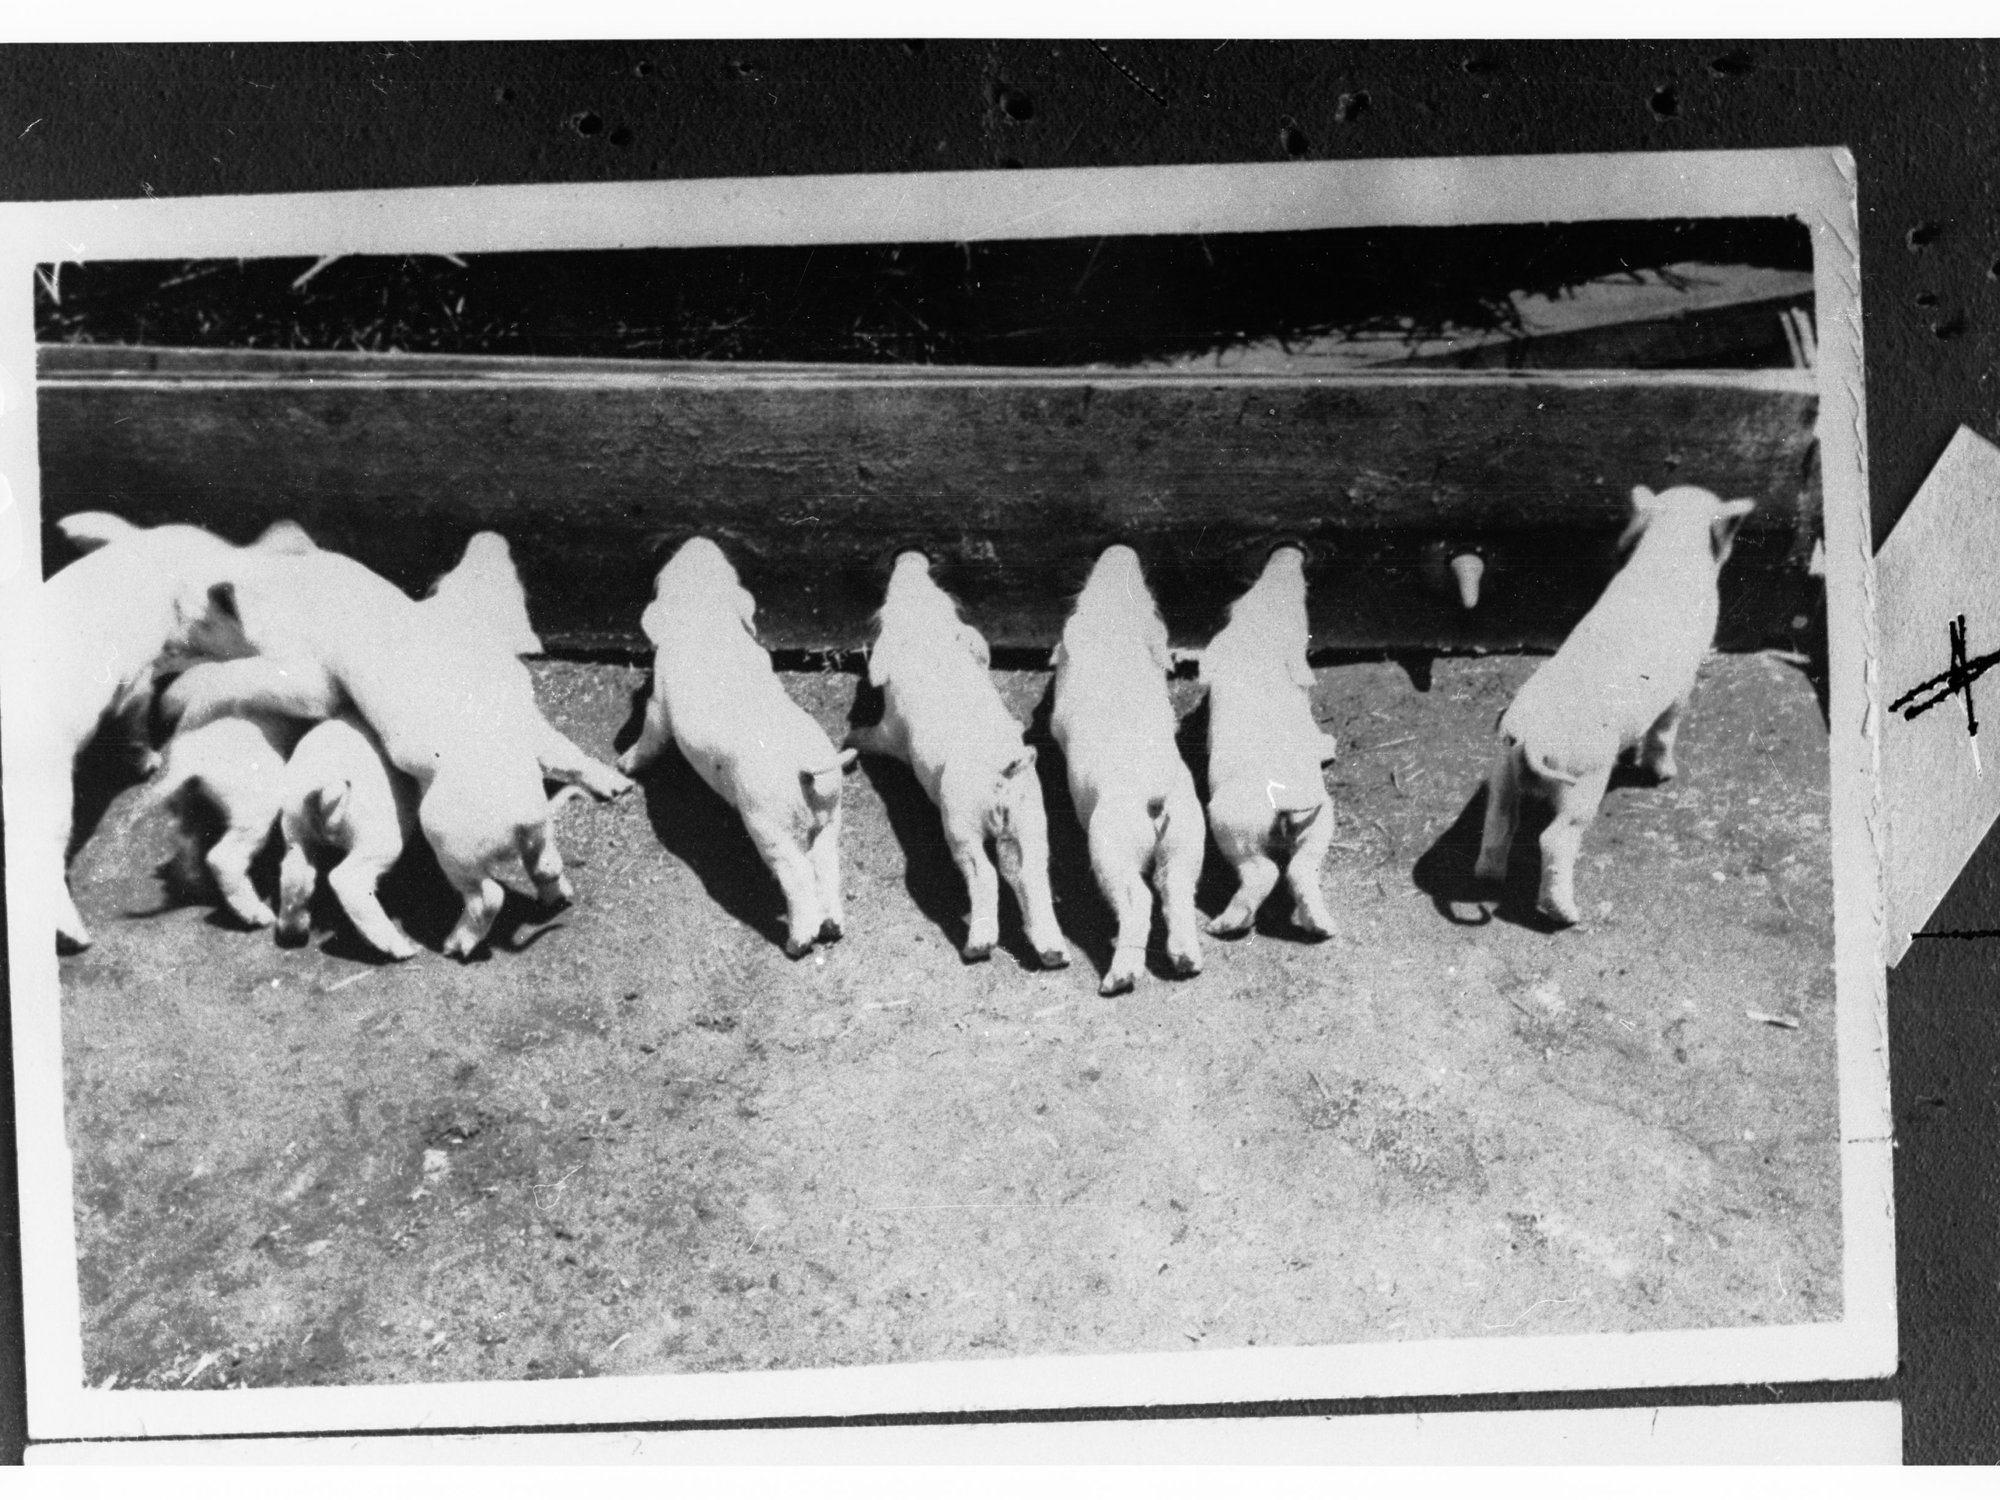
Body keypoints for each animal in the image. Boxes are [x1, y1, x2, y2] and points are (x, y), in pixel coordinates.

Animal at [618, 538, 857, 958]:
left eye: (661, 578)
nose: (696, 539)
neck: (708, 616)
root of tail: (806, 766)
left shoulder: (661, 701)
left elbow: (651, 732)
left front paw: (622, 764)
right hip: (832, 811)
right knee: (826, 864)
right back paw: (833, 928)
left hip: (766, 817)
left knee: (797, 873)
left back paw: (797, 943)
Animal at [847, 552, 1069, 967]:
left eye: (888, 608)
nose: (910, 557)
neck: (928, 637)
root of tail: (1001, 773)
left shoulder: (891, 729)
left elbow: (872, 737)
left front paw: (848, 738)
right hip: (1031, 814)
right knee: (1029, 872)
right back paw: (1055, 954)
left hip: (959, 816)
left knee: (985, 873)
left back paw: (976, 948)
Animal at [1050, 545, 1206, 996]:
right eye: (1148, 597)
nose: (1120, 550)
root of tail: (1150, 790)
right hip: (1188, 831)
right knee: (1176, 887)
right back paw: (1188, 962)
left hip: (1110, 840)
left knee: (1139, 897)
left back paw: (1116, 981)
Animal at [1198, 546, 1342, 939]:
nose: (1288, 553)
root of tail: (1282, 798)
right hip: (1318, 820)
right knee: (1297, 869)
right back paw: (1324, 928)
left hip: (1234, 825)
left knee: (1265, 871)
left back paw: (1219, 927)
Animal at [1473, 484, 1758, 925]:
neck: (1669, 546)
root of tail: (1533, 739)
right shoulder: (1683, 682)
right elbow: (1665, 729)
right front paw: (1666, 775)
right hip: (1583, 777)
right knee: (1555, 838)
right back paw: (1568, 916)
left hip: (1502, 766)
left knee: (1499, 820)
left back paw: (1488, 880)